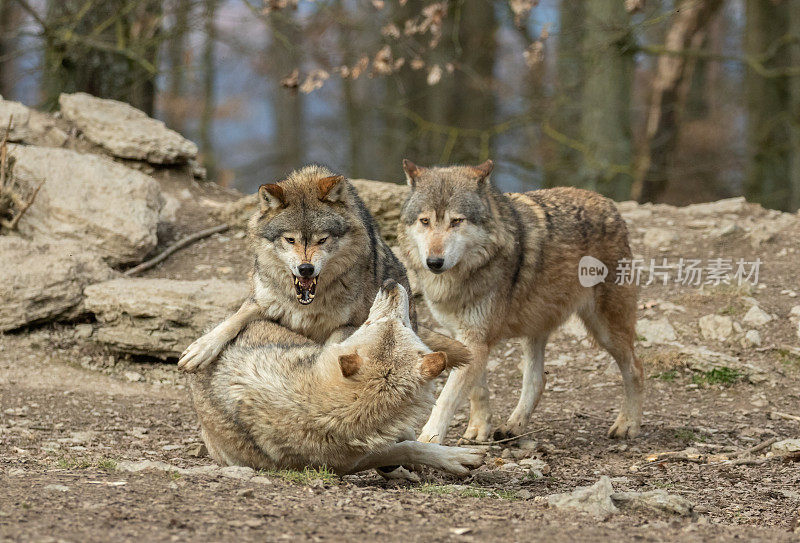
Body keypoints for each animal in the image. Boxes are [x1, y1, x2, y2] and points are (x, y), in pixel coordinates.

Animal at [175, 166, 462, 374]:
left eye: (322, 240)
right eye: (290, 240)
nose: (305, 268)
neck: (306, 305)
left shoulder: (351, 324)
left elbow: (333, 348)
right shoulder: (262, 301)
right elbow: (232, 320)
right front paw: (201, 348)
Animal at [400, 160, 644, 446]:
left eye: (456, 221)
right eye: (425, 221)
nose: (434, 262)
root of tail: (608, 203)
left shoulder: (477, 339)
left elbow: (447, 398)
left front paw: (427, 440)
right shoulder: (468, 340)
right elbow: (477, 391)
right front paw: (478, 429)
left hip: (605, 331)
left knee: (636, 369)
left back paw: (628, 425)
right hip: (536, 328)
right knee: (537, 381)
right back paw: (513, 426)